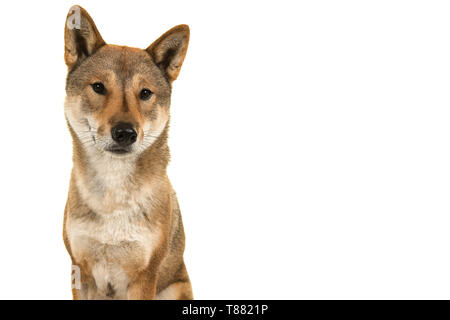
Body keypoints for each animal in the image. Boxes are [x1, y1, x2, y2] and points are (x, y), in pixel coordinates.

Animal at [61, 5, 192, 300]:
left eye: (145, 93)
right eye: (99, 87)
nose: (125, 133)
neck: (112, 201)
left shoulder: (144, 275)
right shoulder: (79, 270)